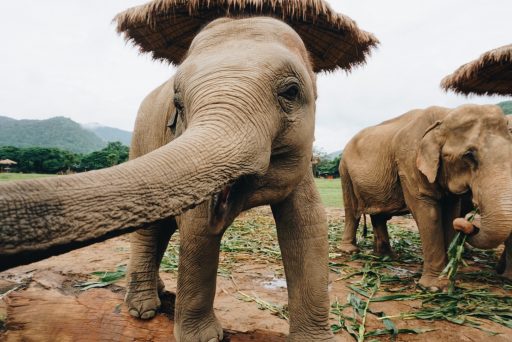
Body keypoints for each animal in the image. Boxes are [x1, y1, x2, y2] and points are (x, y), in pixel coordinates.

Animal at [0, 0, 378, 342]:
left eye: (291, 91)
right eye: (178, 104)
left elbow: (307, 228)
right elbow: (196, 230)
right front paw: (204, 338)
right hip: (141, 139)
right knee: (151, 228)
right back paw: (143, 309)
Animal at [340, 105, 512, 292]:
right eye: (469, 155)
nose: (470, 223)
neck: (445, 116)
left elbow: (450, 213)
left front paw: (448, 280)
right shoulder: (408, 162)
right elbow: (429, 213)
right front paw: (434, 288)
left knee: (379, 215)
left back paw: (387, 257)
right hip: (344, 170)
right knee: (352, 210)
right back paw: (350, 251)